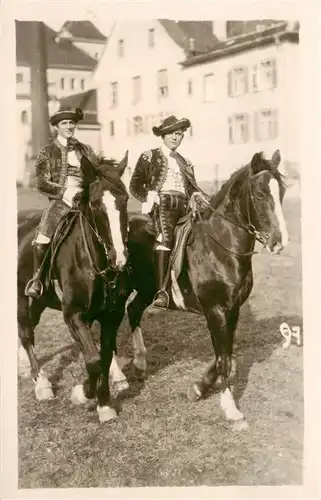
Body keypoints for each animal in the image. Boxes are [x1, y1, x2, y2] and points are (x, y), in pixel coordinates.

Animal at [17, 151, 132, 422]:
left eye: (124, 200)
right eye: (96, 205)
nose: (119, 258)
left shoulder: (112, 315)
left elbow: (103, 356)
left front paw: (104, 404)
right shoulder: (73, 315)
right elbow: (93, 360)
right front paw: (83, 394)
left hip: (41, 300)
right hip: (20, 295)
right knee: (25, 332)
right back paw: (41, 383)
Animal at [112, 148, 288, 430]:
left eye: (281, 191)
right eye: (260, 194)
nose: (279, 242)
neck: (221, 248)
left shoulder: (232, 310)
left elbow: (225, 354)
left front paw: (198, 388)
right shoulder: (214, 310)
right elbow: (223, 358)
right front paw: (231, 410)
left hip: (147, 290)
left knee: (134, 310)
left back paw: (139, 363)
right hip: (115, 292)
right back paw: (117, 378)